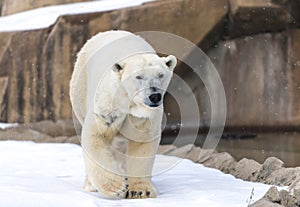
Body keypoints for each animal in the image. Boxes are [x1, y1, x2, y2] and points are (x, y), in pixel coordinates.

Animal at [69, 30, 177, 199]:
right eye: (138, 76)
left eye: (160, 75)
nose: (154, 96)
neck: (129, 102)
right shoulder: (108, 104)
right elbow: (97, 136)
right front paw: (116, 186)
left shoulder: (143, 117)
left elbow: (141, 143)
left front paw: (140, 190)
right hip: (80, 87)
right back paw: (91, 185)